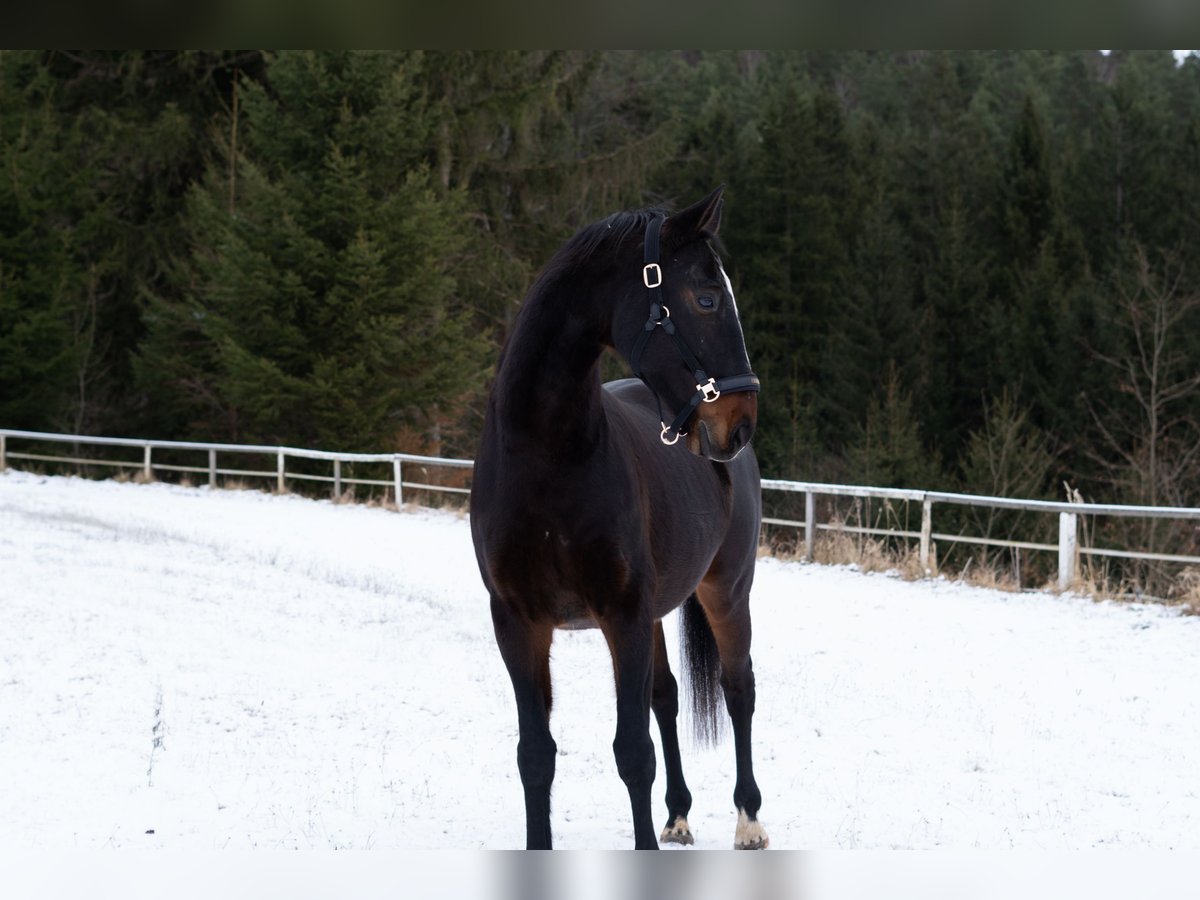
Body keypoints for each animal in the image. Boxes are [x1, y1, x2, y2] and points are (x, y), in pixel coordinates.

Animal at [470, 187, 768, 850]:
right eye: (705, 298)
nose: (738, 424)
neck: (546, 458)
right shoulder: (519, 622)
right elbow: (536, 754)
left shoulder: (622, 614)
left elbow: (633, 752)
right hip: (657, 612)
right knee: (667, 697)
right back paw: (678, 814)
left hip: (727, 591)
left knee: (738, 691)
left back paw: (749, 819)